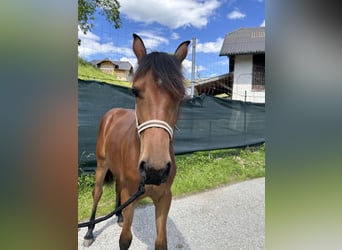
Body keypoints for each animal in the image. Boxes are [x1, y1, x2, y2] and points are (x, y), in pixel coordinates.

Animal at [83, 33, 190, 250]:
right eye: (135, 91)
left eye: (180, 96)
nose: (155, 169)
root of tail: (112, 113)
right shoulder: (130, 196)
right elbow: (125, 239)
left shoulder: (164, 198)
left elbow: (161, 242)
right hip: (101, 166)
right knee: (97, 193)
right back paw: (89, 232)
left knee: (116, 187)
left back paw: (118, 216)